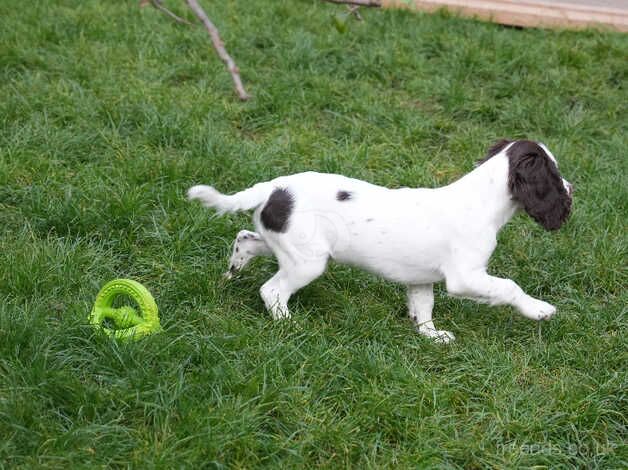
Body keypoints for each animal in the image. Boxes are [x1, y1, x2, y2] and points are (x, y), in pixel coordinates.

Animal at [189, 140, 572, 342]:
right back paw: (289, 324)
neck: (481, 199)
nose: (572, 189)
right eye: (554, 173)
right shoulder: (465, 277)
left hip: (285, 245)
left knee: (245, 239)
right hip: (307, 261)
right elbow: (508, 286)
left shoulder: (421, 279)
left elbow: (423, 308)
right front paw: (539, 309)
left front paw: (431, 337)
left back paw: (230, 274)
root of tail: (272, 188)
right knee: (272, 290)